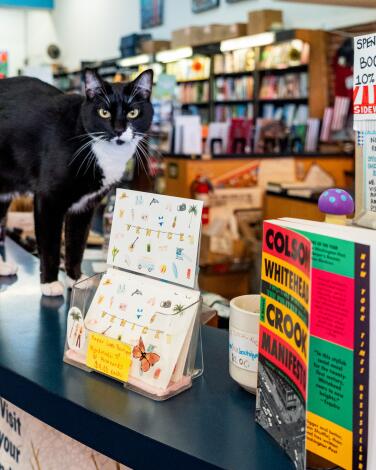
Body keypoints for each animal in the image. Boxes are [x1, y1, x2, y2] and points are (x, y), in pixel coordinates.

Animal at [0, 68, 154, 296]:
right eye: (104, 112)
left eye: (133, 113)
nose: (118, 129)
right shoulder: (49, 200)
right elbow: (51, 245)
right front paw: (49, 282)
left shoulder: (85, 206)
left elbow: (76, 243)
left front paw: (75, 279)